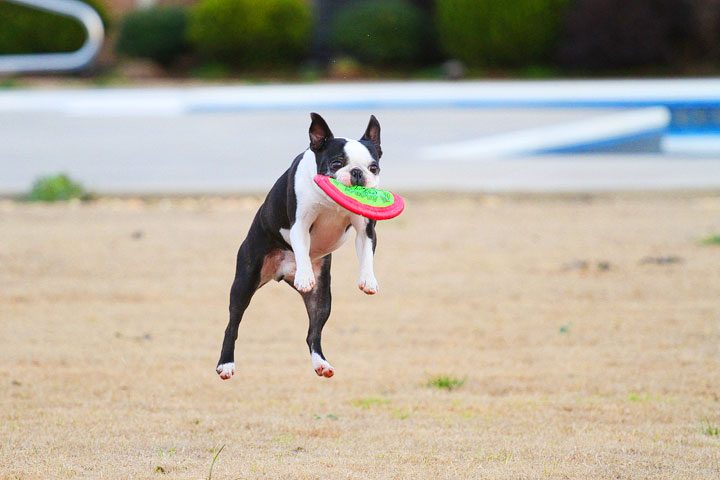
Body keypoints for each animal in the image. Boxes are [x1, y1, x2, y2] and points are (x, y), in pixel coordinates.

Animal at [217, 112, 382, 378]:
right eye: (336, 163)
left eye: (373, 168)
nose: (357, 172)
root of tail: (282, 272)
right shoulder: (300, 225)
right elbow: (302, 249)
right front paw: (305, 277)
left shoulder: (365, 229)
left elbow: (366, 252)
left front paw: (368, 281)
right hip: (245, 279)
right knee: (233, 324)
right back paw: (226, 364)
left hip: (322, 296)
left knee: (313, 332)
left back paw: (321, 364)